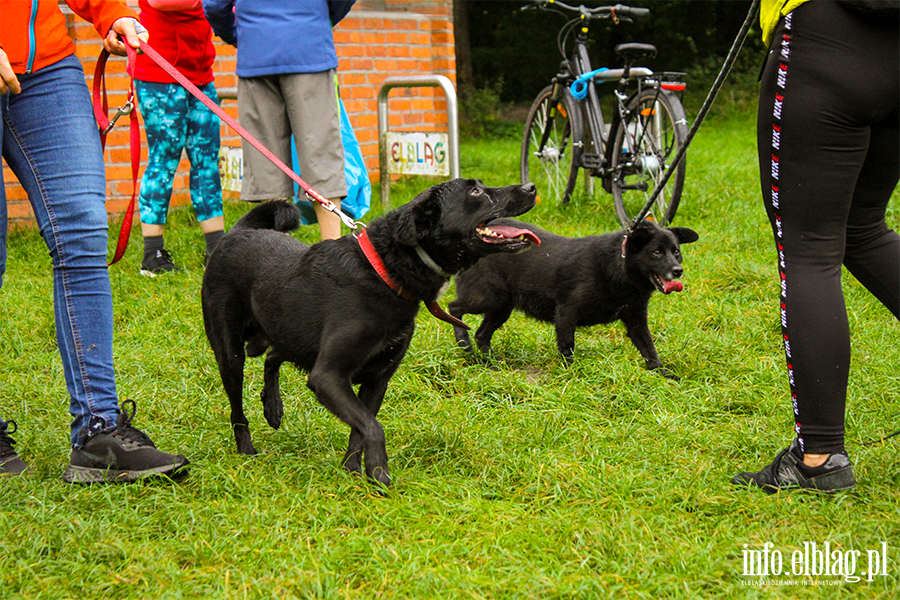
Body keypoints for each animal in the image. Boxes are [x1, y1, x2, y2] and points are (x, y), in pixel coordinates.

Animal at [454, 220, 700, 380]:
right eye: (656, 252)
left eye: (676, 252)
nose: (678, 271)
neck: (619, 266)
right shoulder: (566, 313)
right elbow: (567, 347)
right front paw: (572, 374)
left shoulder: (636, 320)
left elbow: (650, 349)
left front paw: (662, 374)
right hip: (488, 298)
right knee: (454, 307)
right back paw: (462, 341)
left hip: (502, 307)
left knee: (482, 334)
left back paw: (492, 361)